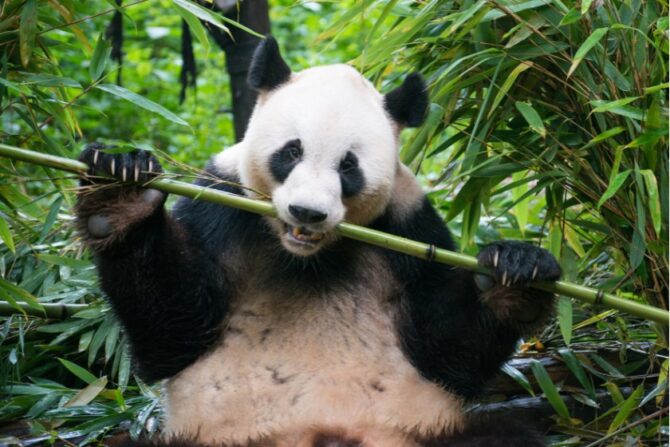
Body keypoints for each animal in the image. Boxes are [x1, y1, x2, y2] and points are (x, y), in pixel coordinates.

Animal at [76, 36, 564, 446]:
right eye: (291, 151)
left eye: (348, 166)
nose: (307, 212)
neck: (306, 257)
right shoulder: (220, 204)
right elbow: (176, 329)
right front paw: (119, 192)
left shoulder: (409, 227)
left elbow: (445, 350)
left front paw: (516, 272)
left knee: (507, 435)